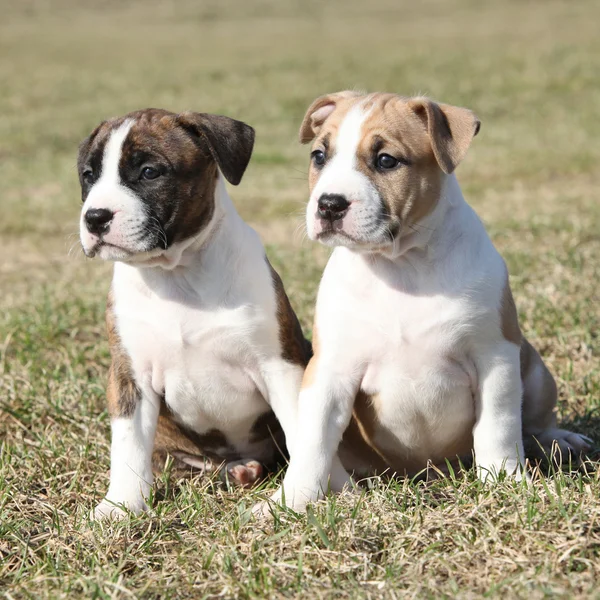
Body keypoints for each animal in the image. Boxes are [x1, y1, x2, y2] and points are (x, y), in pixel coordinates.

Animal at [78, 109, 312, 520]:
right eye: (89, 175)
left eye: (150, 172)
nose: (95, 217)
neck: (177, 273)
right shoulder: (129, 376)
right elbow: (128, 444)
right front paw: (120, 506)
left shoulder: (279, 365)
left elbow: (300, 429)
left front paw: (294, 497)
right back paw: (237, 471)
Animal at [268, 90, 592, 510]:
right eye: (319, 156)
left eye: (386, 161)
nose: (329, 204)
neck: (403, 265)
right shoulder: (330, 370)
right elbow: (313, 441)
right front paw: (291, 501)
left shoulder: (494, 356)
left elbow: (499, 425)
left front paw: (505, 480)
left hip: (534, 367)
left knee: (533, 423)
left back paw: (560, 440)